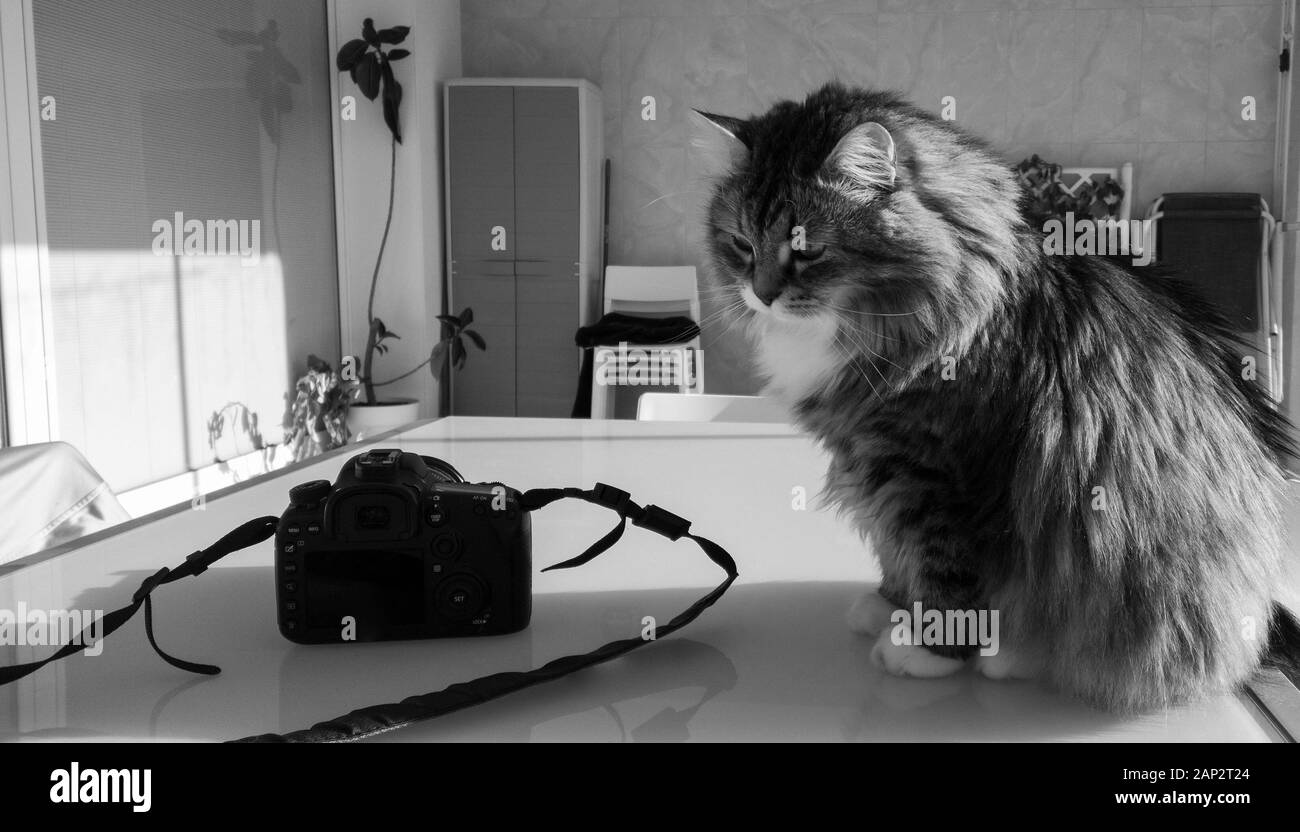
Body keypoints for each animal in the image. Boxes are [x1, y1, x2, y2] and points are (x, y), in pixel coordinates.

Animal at [696, 82, 1300, 707]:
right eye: (742, 245)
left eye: (806, 249)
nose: (761, 294)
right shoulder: (875, 465)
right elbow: (896, 551)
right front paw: (891, 607)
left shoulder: (936, 475)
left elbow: (943, 568)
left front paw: (928, 649)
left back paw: (1010, 656)